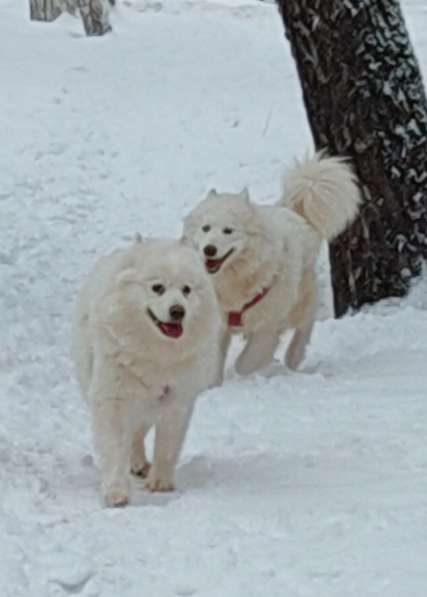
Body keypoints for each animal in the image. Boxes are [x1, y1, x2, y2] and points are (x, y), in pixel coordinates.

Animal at [71, 235, 221, 506]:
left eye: (186, 290)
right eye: (157, 287)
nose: (178, 311)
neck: (155, 354)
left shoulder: (176, 399)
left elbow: (167, 446)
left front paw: (161, 482)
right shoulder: (114, 398)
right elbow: (115, 445)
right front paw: (116, 492)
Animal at [183, 154, 362, 378]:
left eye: (228, 230)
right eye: (205, 228)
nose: (209, 249)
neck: (234, 279)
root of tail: (296, 214)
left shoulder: (267, 325)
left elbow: (245, 362)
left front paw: (256, 369)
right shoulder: (219, 324)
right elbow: (214, 366)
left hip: (299, 300)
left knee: (306, 323)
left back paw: (293, 357)